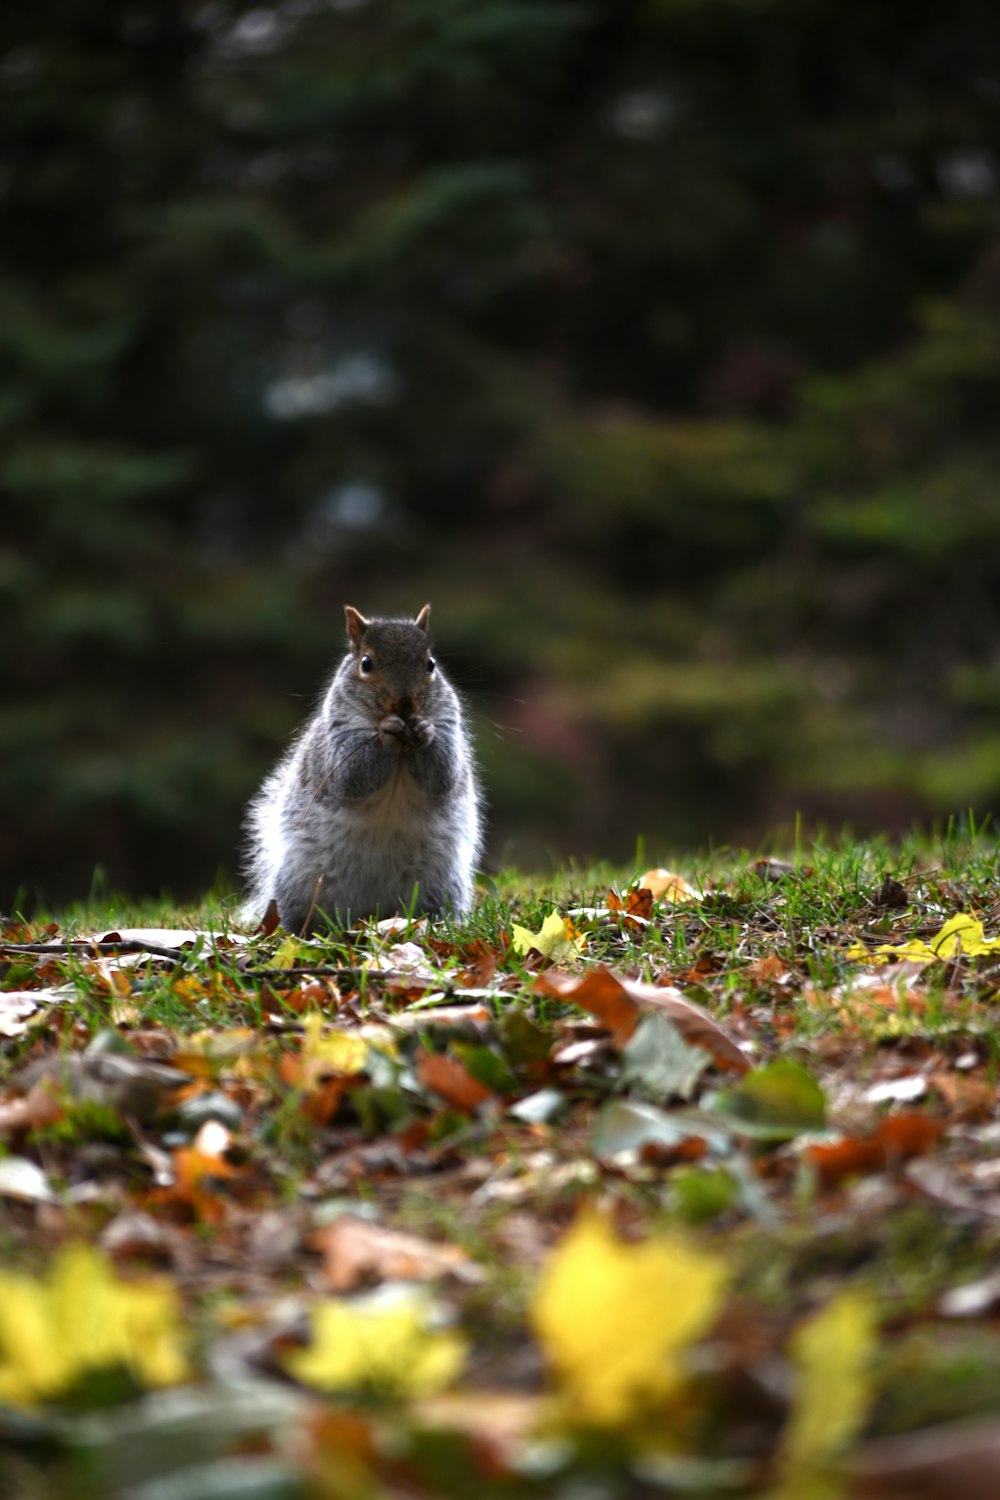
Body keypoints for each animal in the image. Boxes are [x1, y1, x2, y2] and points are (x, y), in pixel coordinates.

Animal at [239, 603, 479, 930]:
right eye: (366, 663)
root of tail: (366, 914)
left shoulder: (448, 725)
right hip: (297, 886)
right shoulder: (335, 742)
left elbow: (444, 775)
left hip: (438, 885)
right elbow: (351, 776)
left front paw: (425, 731)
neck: (403, 748)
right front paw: (387, 732)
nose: (405, 703)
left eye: (430, 664)